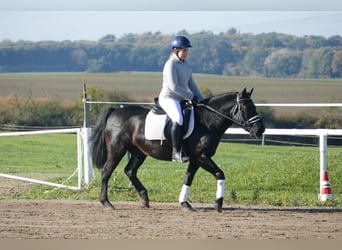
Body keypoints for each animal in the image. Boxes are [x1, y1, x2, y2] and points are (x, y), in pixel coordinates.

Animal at [90, 87, 264, 212]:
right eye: (245, 107)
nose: (260, 129)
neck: (207, 121)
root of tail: (115, 111)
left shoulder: (196, 159)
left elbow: (188, 178)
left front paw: (185, 203)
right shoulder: (202, 157)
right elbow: (220, 174)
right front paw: (218, 203)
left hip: (139, 153)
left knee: (130, 171)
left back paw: (144, 199)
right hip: (117, 150)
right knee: (107, 171)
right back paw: (106, 203)